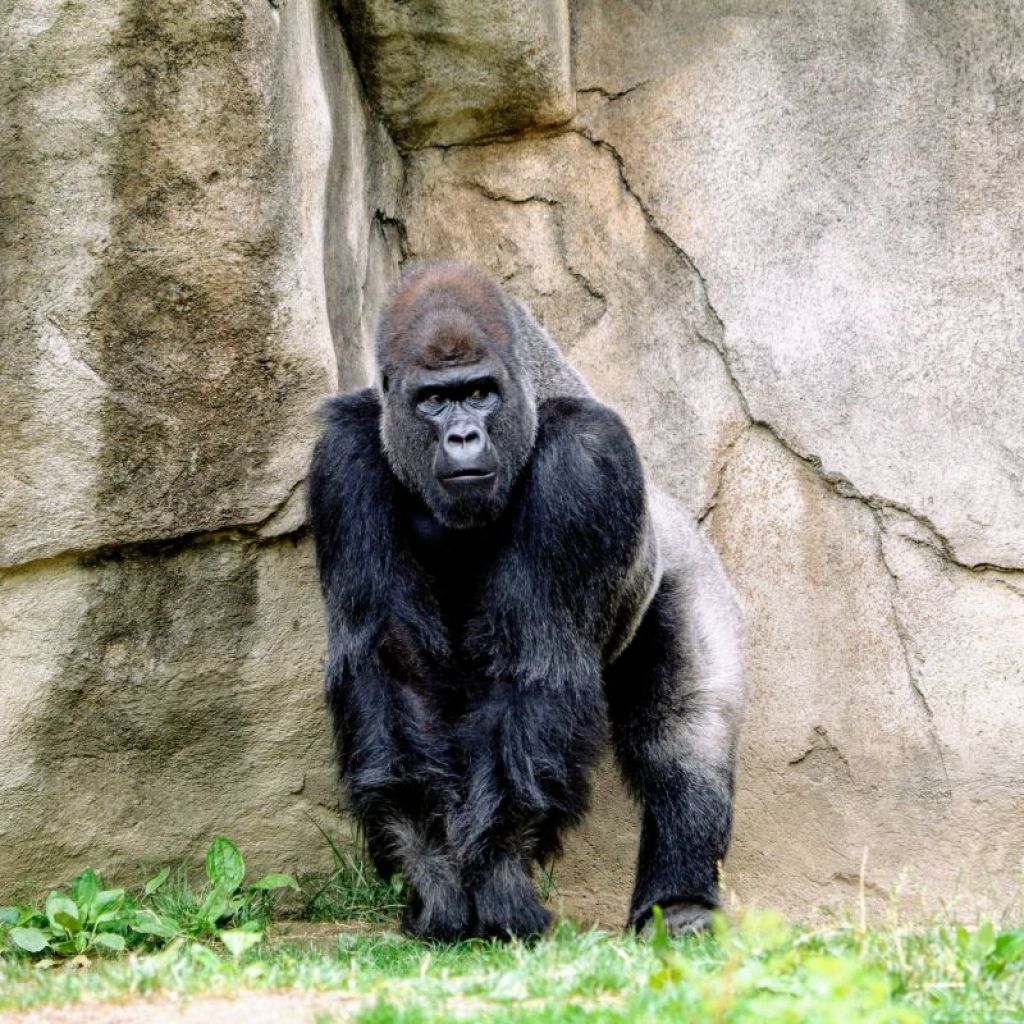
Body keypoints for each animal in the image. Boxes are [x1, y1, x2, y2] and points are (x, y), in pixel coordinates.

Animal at [307, 261, 745, 941]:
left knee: (685, 732)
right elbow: (391, 668)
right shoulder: (343, 458)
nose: (463, 436)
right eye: (433, 401)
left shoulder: (585, 462)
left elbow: (537, 669)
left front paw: (499, 878)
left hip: (688, 570)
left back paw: (680, 900)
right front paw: (435, 875)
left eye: (480, 392)